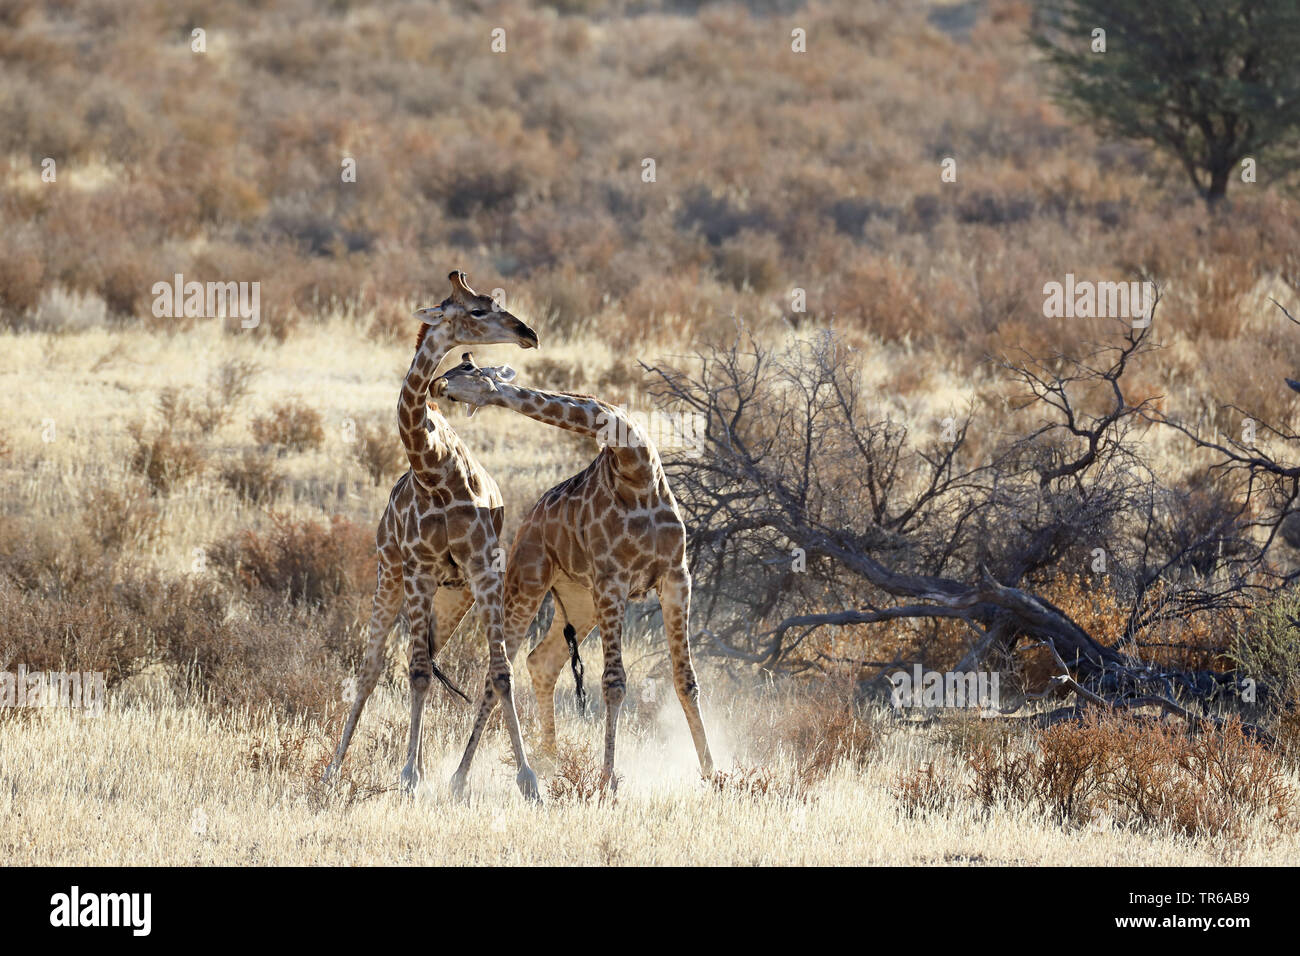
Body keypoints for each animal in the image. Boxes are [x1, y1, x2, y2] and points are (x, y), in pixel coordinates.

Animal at [327, 270, 546, 801]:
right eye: (477, 311)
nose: (528, 333)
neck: (433, 470)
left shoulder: (484, 569)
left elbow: (501, 672)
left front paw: (530, 780)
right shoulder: (419, 571)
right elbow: (417, 672)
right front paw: (408, 775)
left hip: (452, 598)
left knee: (425, 658)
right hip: (392, 577)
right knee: (375, 669)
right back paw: (333, 770)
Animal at [431, 351, 717, 790]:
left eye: (470, 370)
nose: (438, 384)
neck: (635, 466)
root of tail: (527, 521)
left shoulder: (675, 575)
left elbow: (686, 679)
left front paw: (713, 773)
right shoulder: (613, 580)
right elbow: (614, 682)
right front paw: (608, 779)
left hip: (580, 602)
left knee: (542, 661)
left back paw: (549, 760)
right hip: (529, 581)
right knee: (497, 672)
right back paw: (462, 777)